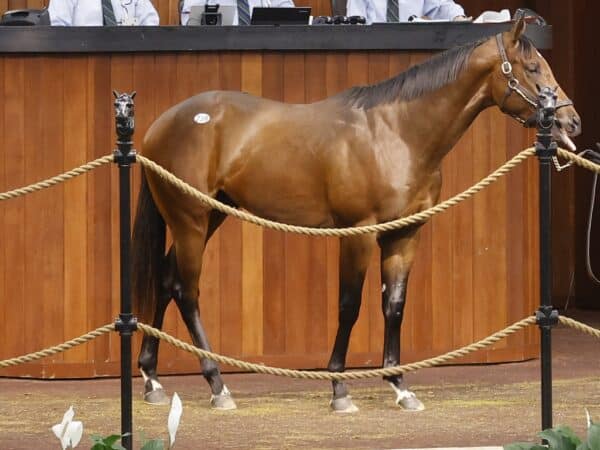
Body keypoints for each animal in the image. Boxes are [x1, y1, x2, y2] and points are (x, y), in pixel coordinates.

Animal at [132, 19, 580, 414]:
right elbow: (349, 306)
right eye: (533, 68)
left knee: (166, 281)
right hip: (191, 220)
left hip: (210, 216)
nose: (570, 120)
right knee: (187, 291)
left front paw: (400, 387)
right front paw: (339, 389)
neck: (397, 133)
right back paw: (217, 384)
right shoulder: (359, 233)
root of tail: (158, 126)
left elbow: (394, 306)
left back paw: (152, 380)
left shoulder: (404, 235)